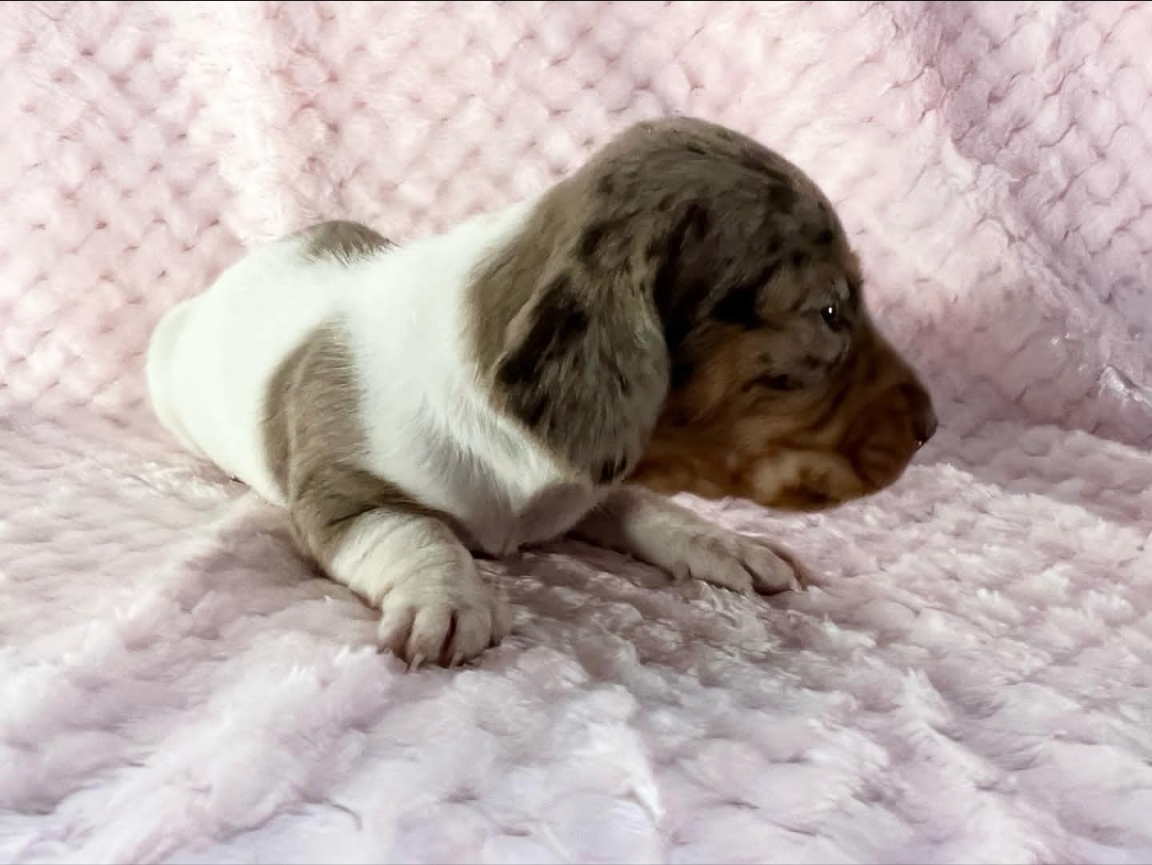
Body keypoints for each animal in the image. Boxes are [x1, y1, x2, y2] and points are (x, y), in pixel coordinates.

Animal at [146, 115, 935, 668]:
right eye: (829, 312)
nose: (933, 426)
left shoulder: (599, 465)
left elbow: (647, 504)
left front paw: (723, 541)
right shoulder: (340, 493)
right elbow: (417, 530)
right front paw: (448, 596)